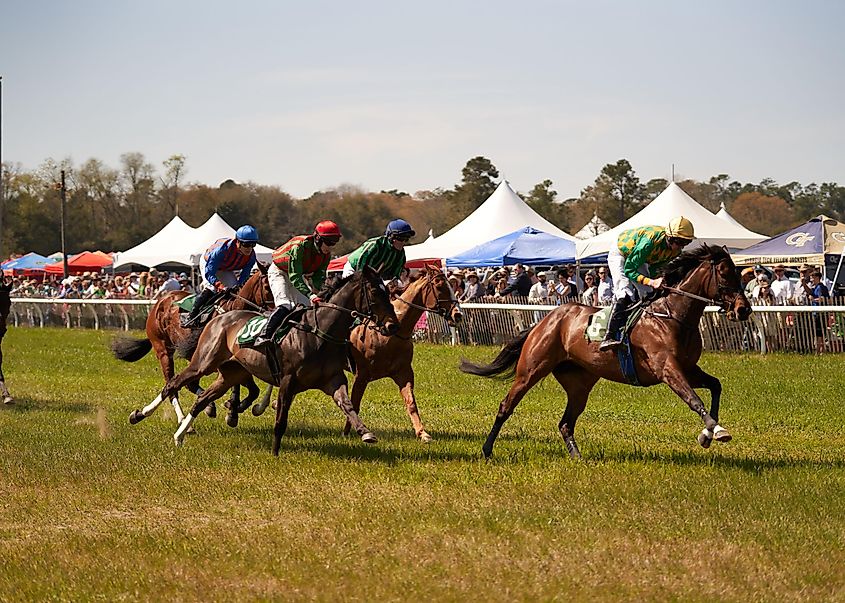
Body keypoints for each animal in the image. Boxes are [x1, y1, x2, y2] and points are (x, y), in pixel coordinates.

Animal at [113, 264, 274, 424]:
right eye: (267, 286)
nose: (274, 312)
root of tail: (161, 300)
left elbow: (252, 390)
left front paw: (234, 409)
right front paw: (233, 409)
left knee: (189, 384)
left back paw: (207, 407)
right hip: (163, 350)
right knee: (172, 385)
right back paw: (180, 419)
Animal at [137, 266, 400, 456]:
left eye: (389, 292)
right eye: (375, 292)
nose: (392, 326)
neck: (318, 332)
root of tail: (218, 317)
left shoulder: (333, 380)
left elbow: (348, 405)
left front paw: (365, 432)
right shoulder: (287, 380)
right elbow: (280, 419)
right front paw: (274, 452)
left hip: (230, 372)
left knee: (202, 400)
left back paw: (179, 435)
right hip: (202, 362)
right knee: (173, 383)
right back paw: (140, 415)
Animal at [458, 243, 756, 460]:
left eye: (739, 274)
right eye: (725, 274)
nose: (743, 309)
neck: (671, 315)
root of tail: (546, 319)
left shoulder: (688, 368)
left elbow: (715, 386)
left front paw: (709, 432)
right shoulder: (666, 368)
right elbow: (694, 399)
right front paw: (716, 431)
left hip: (579, 382)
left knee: (566, 423)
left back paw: (578, 458)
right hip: (531, 370)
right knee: (506, 407)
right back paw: (487, 450)